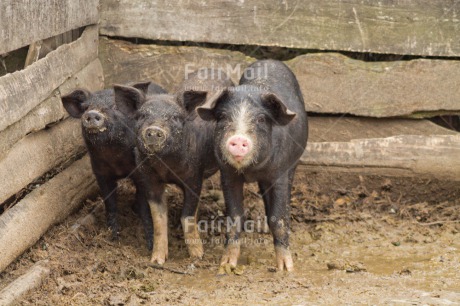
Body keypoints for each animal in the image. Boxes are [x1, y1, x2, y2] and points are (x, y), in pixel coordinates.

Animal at [61, 82, 167, 250]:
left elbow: (144, 207)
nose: (92, 113)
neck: (116, 160)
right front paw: (113, 237)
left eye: (115, 106)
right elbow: (110, 203)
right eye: (86, 107)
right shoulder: (100, 173)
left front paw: (149, 245)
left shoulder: (141, 173)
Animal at [113, 68, 232, 262]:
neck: (165, 167)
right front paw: (157, 261)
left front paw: (198, 256)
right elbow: (159, 218)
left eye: (175, 117)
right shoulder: (148, 179)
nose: (154, 130)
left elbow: (187, 215)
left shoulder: (194, 177)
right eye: (142, 116)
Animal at [198, 60, 310, 272]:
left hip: (293, 165)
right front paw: (226, 265)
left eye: (260, 119)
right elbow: (234, 217)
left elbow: (278, 217)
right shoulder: (228, 174)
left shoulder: (279, 173)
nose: (239, 138)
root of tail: (270, 61)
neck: (252, 170)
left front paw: (285, 268)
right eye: (223, 116)